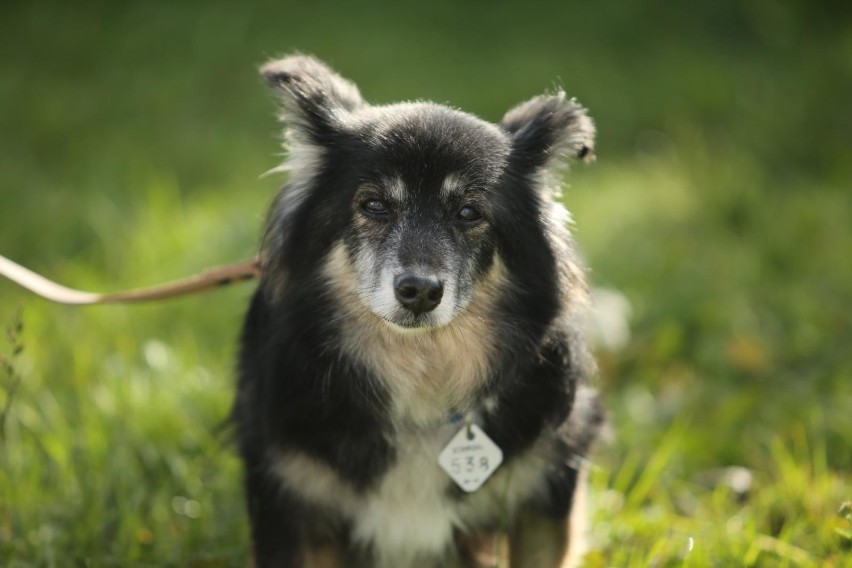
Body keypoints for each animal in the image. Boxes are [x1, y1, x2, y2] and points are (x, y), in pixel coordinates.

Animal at [231, 54, 604, 568]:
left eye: (468, 212)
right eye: (374, 204)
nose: (420, 292)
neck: (421, 378)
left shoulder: (546, 489)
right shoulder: (290, 498)